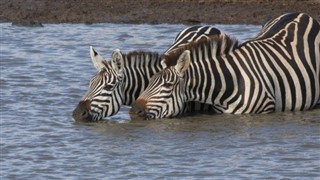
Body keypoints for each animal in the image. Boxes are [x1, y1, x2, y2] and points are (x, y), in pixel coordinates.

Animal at [133, 12, 320, 119]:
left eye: (168, 85)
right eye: (149, 82)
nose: (134, 110)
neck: (231, 84)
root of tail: (301, 13)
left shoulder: (265, 111)